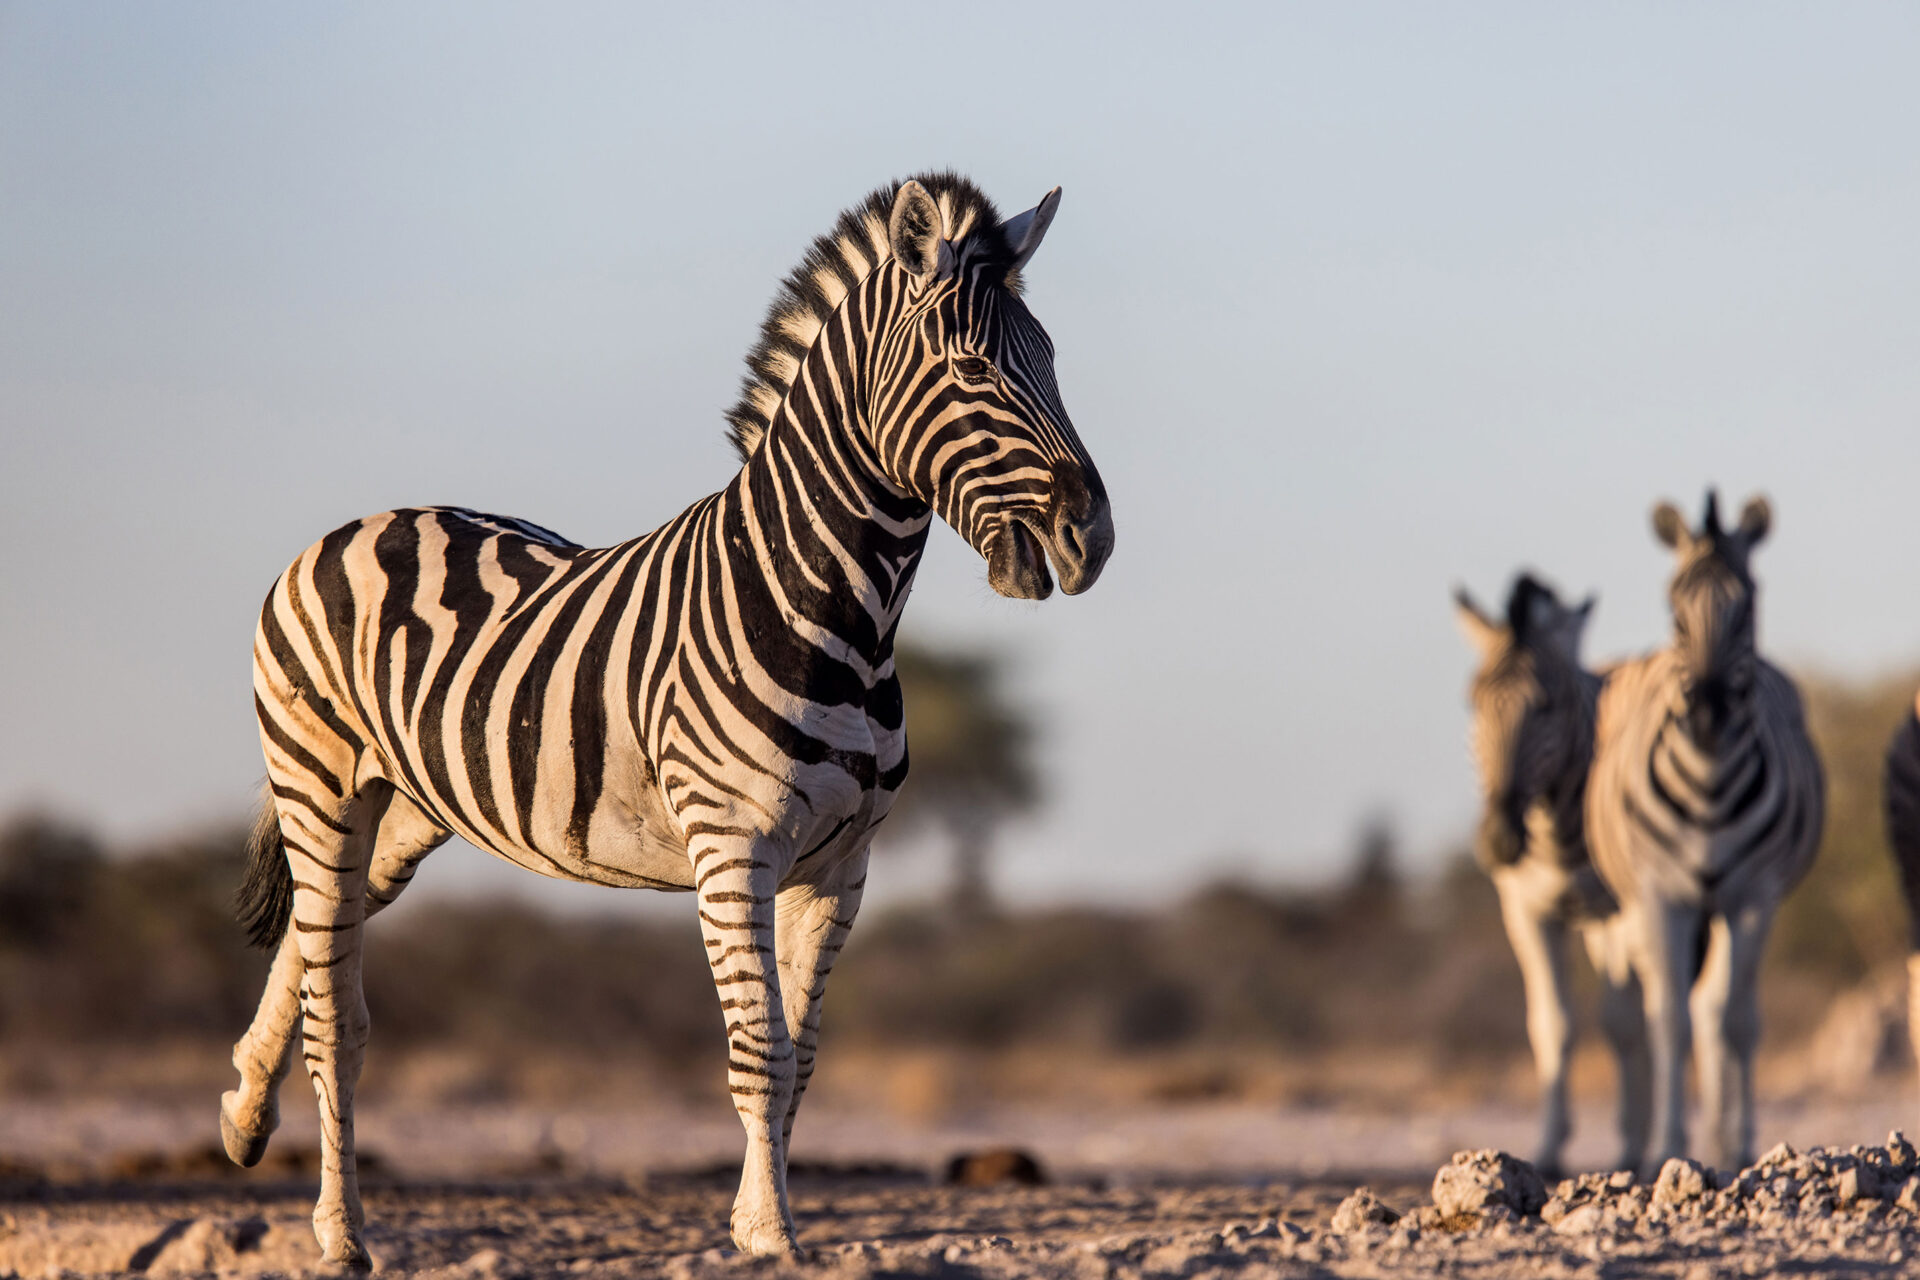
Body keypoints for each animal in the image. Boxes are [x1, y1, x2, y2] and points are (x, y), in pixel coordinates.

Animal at [218, 174, 1114, 1266]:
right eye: (972, 365)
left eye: (1054, 359)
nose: (1093, 537)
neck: (835, 611)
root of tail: (352, 526)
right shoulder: (735, 846)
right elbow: (758, 1048)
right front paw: (769, 1233)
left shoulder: (843, 864)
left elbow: (802, 1055)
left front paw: (755, 1214)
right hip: (317, 780)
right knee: (335, 1021)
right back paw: (341, 1234)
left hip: (407, 810)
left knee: (311, 952)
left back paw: (244, 1109)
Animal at [1455, 572, 1647, 1177]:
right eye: (1473, 704)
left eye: (1547, 706)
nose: (1499, 840)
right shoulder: (1526, 911)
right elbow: (1553, 1024)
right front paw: (1546, 1150)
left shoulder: (1627, 908)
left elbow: (1626, 1023)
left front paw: (1637, 1145)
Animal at [1587, 491, 1822, 1176]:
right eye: (1675, 608)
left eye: (1749, 605)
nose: (1711, 709)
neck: (1710, 781)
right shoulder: (1659, 894)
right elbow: (1668, 1021)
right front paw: (1668, 1147)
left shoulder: (1754, 896)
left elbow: (1734, 1021)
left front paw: (1736, 1143)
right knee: (1662, 1011)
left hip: (1721, 905)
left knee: (1719, 1011)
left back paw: (1723, 1137)